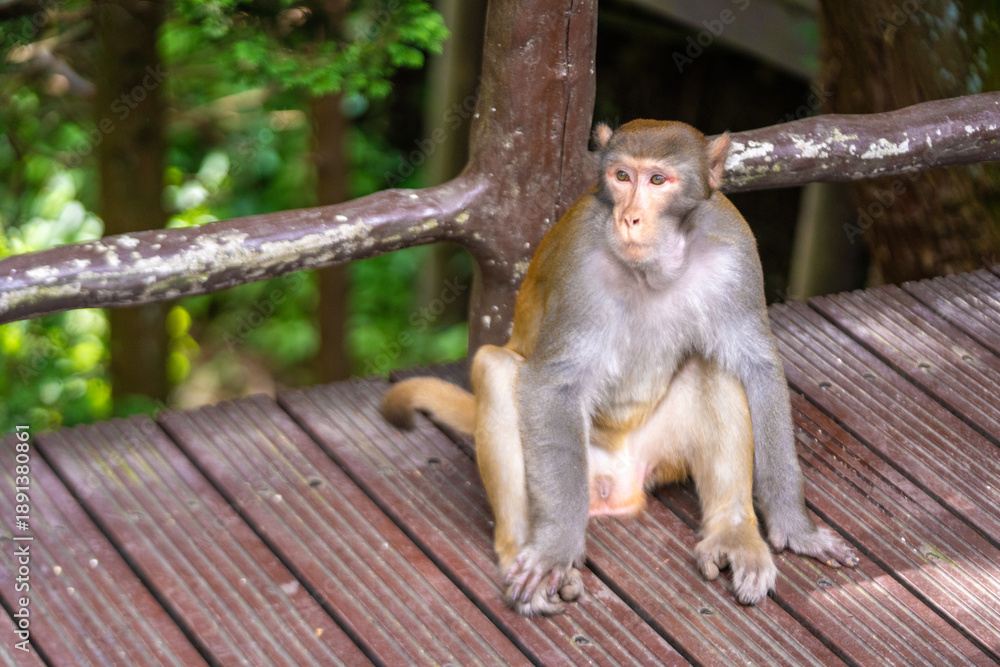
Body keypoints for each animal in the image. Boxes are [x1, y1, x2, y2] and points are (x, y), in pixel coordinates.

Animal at [383, 120, 858, 616]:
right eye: (622, 176)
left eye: (658, 180)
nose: (629, 217)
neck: (655, 267)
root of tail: (620, 481)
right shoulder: (579, 261)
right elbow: (553, 384)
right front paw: (554, 547)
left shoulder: (734, 246)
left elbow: (757, 365)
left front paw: (796, 528)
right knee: (496, 369)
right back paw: (522, 551)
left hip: (661, 454)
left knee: (716, 364)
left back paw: (733, 534)